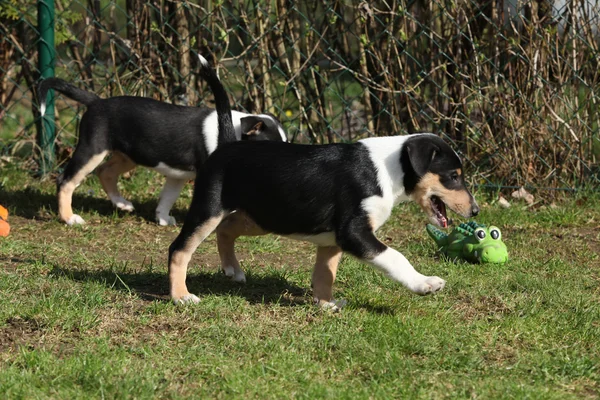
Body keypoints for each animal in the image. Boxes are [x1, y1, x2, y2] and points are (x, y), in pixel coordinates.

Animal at [166, 81, 480, 308]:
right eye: (454, 176)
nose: (475, 211)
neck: (388, 170)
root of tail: (227, 145)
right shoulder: (354, 233)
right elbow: (395, 257)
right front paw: (424, 283)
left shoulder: (333, 240)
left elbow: (324, 274)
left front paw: (326, 304)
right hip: (210, 208)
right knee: (179, 248)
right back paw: (181, 296)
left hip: (266, 216)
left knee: (226, 230)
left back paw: (233, 269)